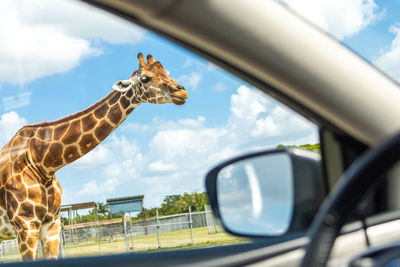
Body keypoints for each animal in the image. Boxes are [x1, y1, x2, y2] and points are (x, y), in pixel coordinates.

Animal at [0, 53, 188, 260]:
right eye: (145, 78)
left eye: (166, 72)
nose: (182, 92)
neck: (43, 162)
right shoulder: (26, 226)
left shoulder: (51, 224)